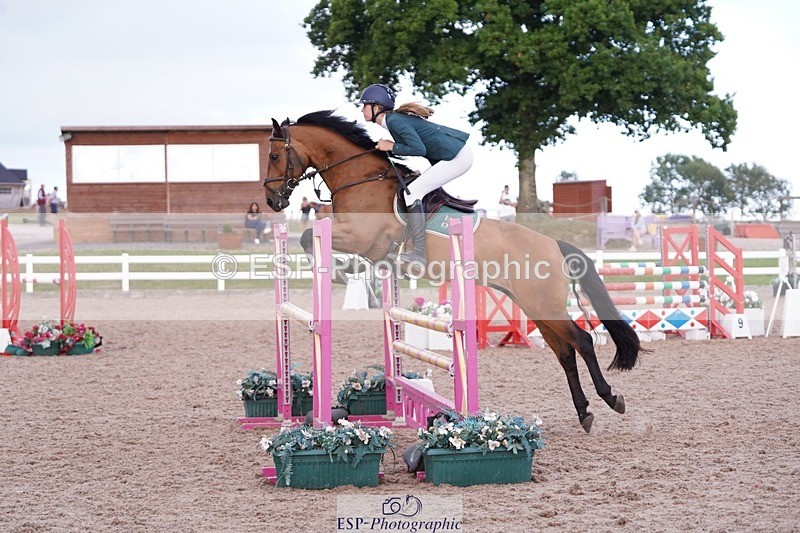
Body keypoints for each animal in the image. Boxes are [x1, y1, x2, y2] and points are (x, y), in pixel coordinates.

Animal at [263, 110, 642, 433]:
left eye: (274, 156)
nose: (272, 201)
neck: (361, 180)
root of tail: (554, 245)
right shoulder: (365, 245)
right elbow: (324, 244)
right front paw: (346, 270)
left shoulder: (362, 237)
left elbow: (310, 236)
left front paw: (337, 270)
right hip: (535, 306)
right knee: (565, 352)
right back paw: (584, 411)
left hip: (544, 303)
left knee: (583, 341)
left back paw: (610, 398)